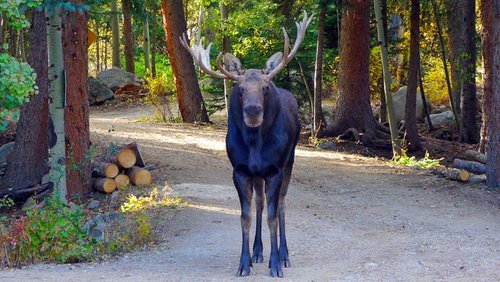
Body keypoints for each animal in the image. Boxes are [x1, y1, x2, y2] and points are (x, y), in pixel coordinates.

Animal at [180, 11, 312, 278]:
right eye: (240, 89)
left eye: (265, 88)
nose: (252, 111)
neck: (254, 147)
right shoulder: (240, 171)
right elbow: (245, 216)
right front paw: (244, 262)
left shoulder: (274, 170)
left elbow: (273, 216)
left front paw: (275, 264)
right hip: (257, 175)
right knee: (260, 203)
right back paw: (258, 251)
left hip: (289, 162)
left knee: (281, 205)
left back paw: (284, 255)